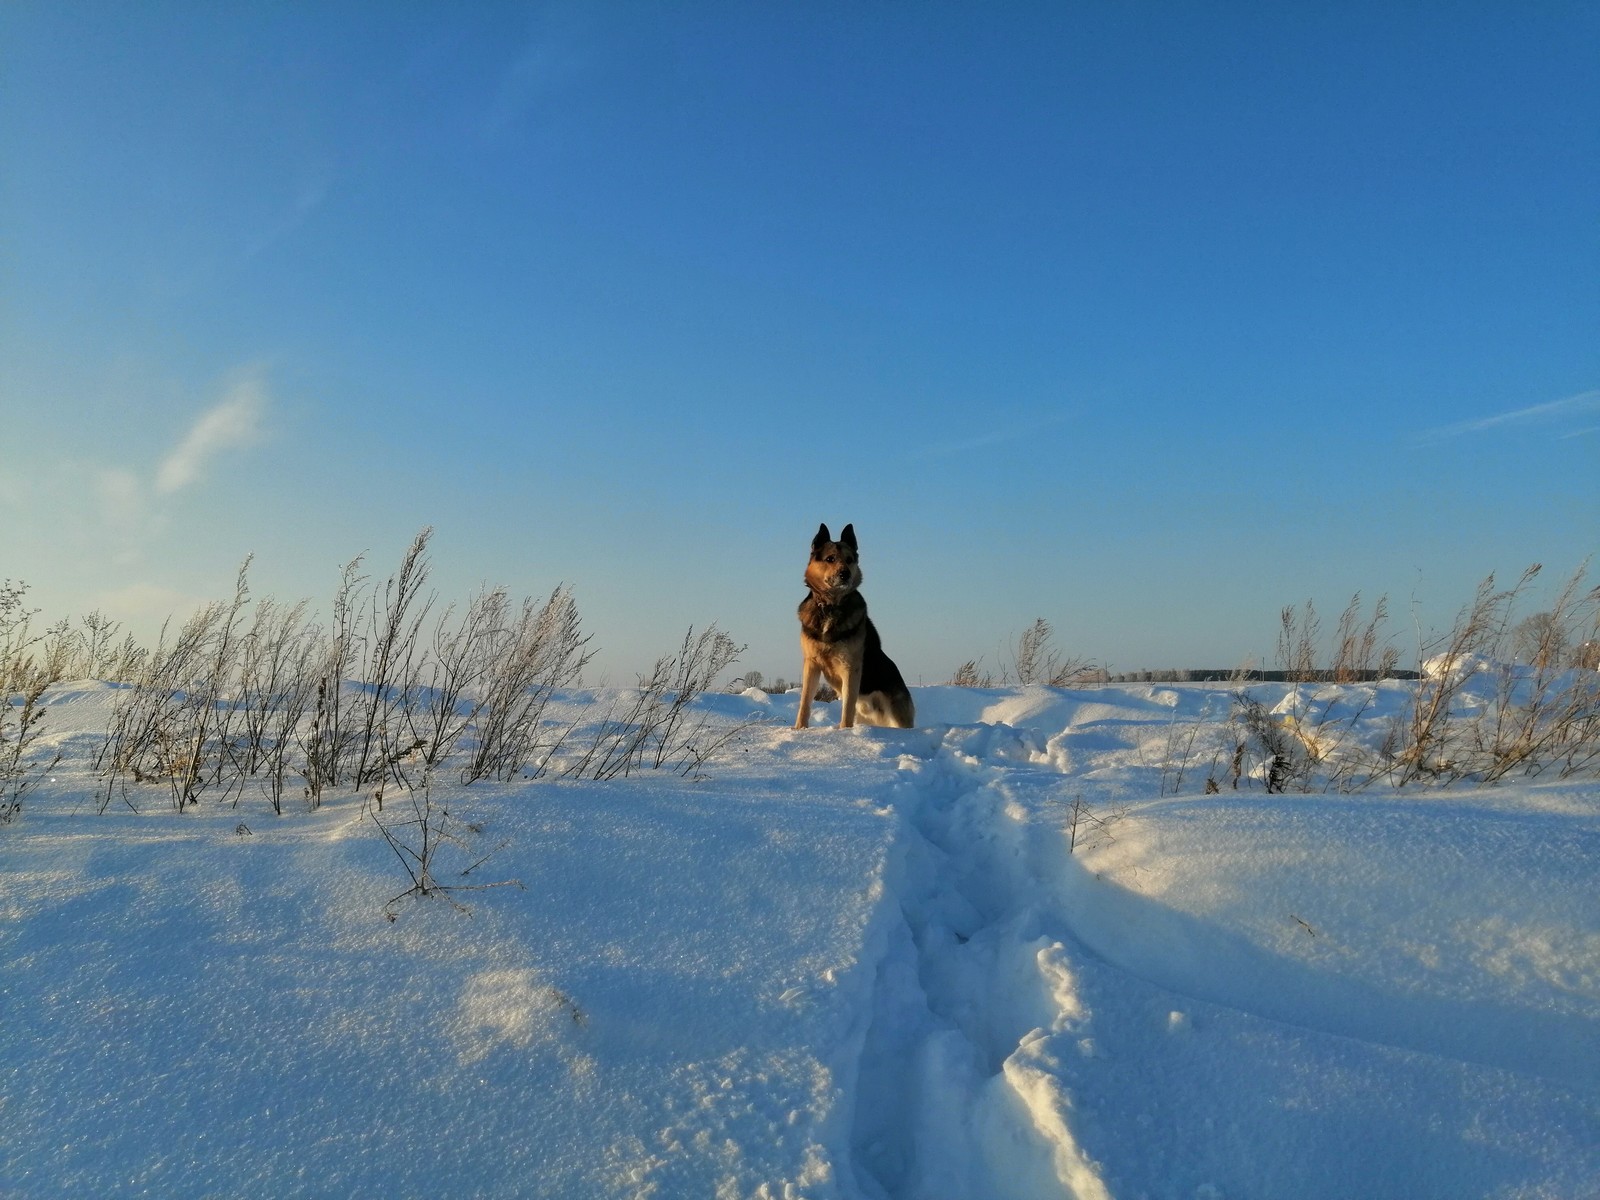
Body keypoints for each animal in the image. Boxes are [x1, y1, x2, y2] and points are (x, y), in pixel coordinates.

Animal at [790, 524, 915, 732]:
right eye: (830, 559)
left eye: (849, 560)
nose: (845, 574)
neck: (831, 607)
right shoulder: (811, 664)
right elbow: (805, 702)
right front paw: (799, 729)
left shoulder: (850, 667)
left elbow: (847, 706)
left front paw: (844, 731)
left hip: (897, 715)